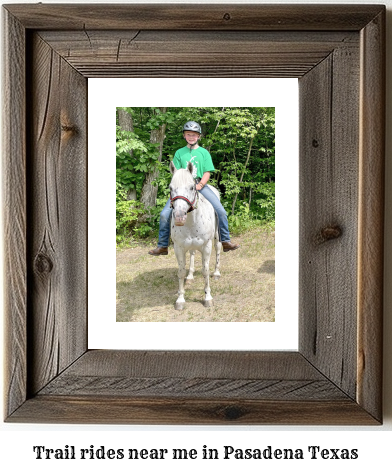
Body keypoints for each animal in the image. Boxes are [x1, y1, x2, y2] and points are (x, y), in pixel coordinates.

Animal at [170, 162, 222, 312]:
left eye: (192, 187)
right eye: (170, 188)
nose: (179, 216)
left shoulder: (206, 246)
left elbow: (205, 270)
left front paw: (208, 298)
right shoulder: (178, 247)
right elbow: (181, 272)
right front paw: (180, 299)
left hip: (216, 238)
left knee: (218, 248)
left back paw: (217, 273)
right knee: (192, 254)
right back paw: (190, 276)